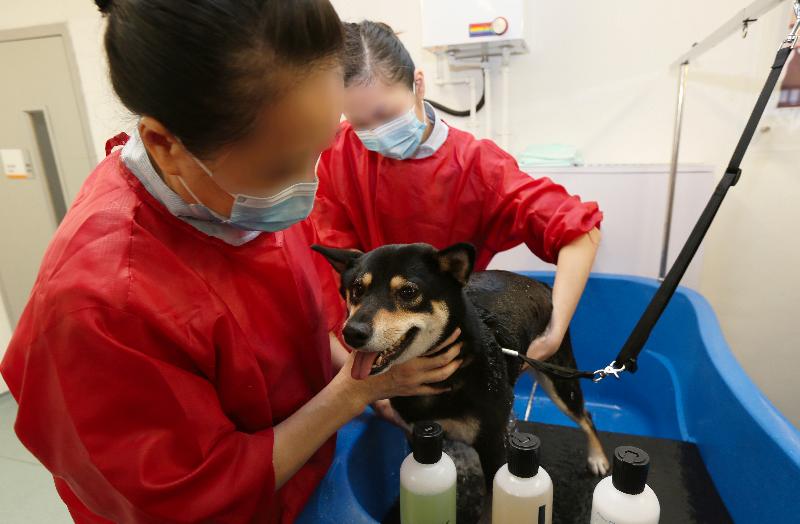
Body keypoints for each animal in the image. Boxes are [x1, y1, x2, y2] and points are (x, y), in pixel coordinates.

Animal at [316, 242, 608, 484]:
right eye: (357, 289)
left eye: (408, 292)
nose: (352, 332)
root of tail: (543, 286)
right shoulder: (417, 435)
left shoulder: (492, 445)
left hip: (560, 380)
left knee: (586, 417)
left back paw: (598, 458)